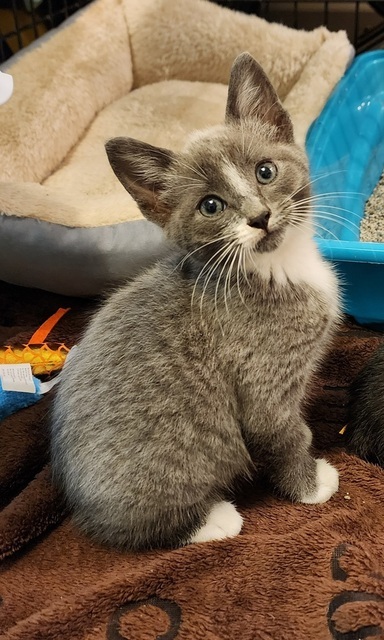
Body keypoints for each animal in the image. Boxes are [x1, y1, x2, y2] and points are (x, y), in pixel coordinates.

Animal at [50, 52, 340, 552]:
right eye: (211, 206)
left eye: (266, 171)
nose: (260, 217)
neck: (276, 266)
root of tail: (80, 509)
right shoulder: (264, 384)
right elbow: (285, 435)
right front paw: (311, 485)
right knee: (131, 529)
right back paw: (212, 520)